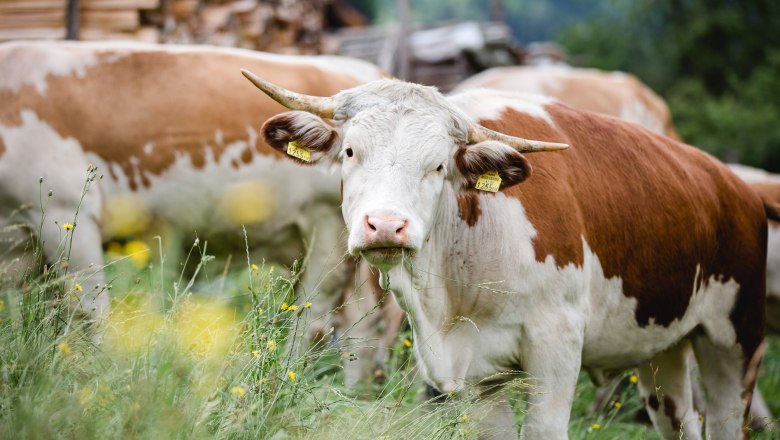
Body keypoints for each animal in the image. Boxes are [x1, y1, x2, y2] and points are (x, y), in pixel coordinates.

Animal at [0, 41, 396, 384]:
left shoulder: (65, 214)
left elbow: (88, 311)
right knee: (361, 319)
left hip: (328, 226)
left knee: (315, 313)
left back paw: (282, 380)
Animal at [247, 74, 772, 438]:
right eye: (352, 151)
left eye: (438, 166)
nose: (386, 225)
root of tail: (736, 187)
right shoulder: (477, 373)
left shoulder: (556, 344)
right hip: (663, 349)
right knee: (681, 421)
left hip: (734, 339)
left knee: (726, 419)